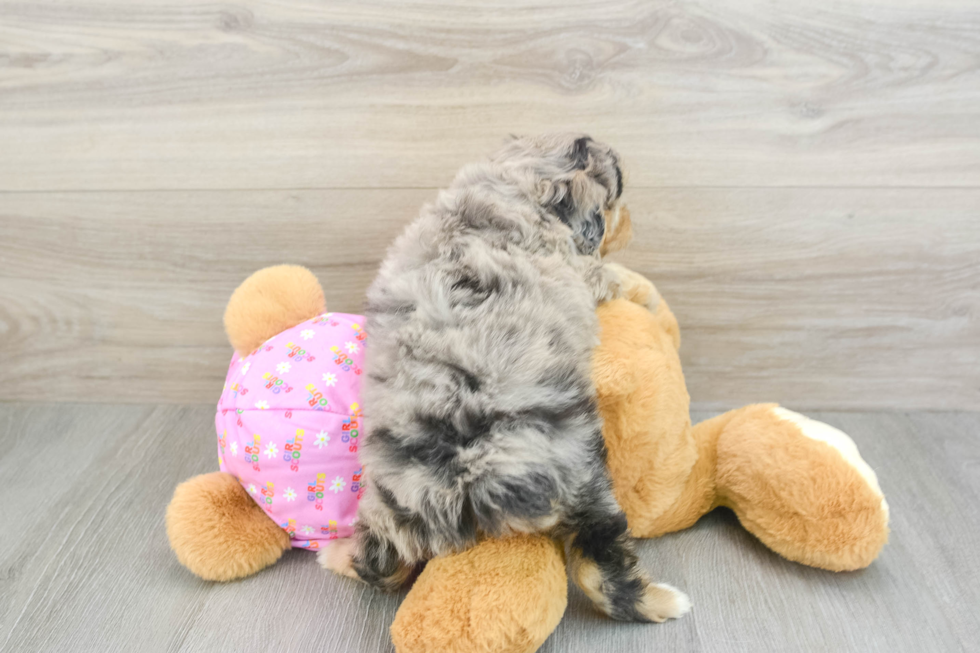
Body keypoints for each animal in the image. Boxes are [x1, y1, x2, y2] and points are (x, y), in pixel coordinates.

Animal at [322, 132, 688, 620]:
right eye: (613, 203)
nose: (631, 222)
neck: (514, 183)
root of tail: (467, 474)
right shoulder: (579, 267)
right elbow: (614, 276)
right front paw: (647, 294)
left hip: (392, 505)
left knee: (380, 565)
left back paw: (336, 554)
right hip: (585, 471)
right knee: (600, 565)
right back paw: (663, 601)